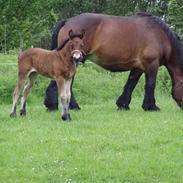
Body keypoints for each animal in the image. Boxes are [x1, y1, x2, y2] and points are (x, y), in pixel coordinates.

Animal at [44, 12, 183, 111]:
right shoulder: (151, 64)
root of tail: (67, 21)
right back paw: (61, 106)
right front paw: (151, 107)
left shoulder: (138, 67)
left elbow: (131, 84)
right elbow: (150, 84)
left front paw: (123, 104)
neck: (160, 36)